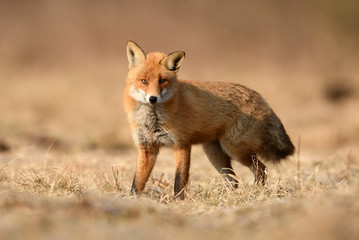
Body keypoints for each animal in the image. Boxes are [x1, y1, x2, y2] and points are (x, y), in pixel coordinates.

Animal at [124, 40, 296, 199]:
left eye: (162, 81)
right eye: (144, 81)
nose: (153, 98)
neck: (152, 120)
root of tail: (261, 97)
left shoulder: (181, 145)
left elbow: (179, 180)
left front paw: (178, 201)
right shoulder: (147, 148)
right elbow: (137, 181)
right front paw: (132, 199)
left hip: (235, 150)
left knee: (262, 170)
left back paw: (254, 194)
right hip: (215, 154)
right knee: (234, 181)